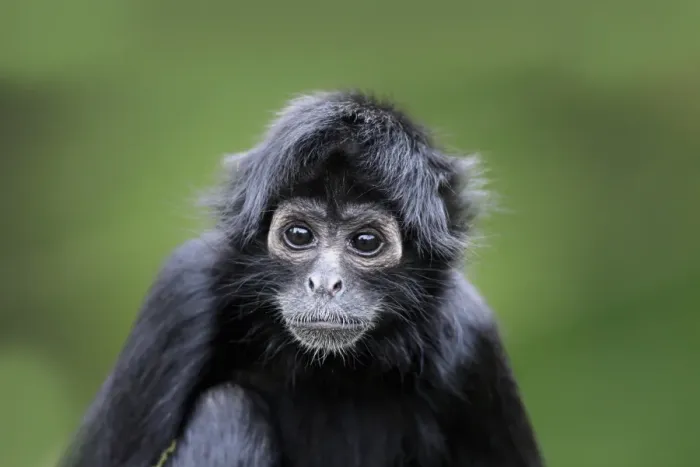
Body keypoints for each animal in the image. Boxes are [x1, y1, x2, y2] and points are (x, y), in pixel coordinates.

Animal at [60, 91, 544, 467]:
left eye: (365, 241)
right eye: (299, 235)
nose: (324, 284)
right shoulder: (181, 292)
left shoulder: (473, 342)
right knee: (229, 409)